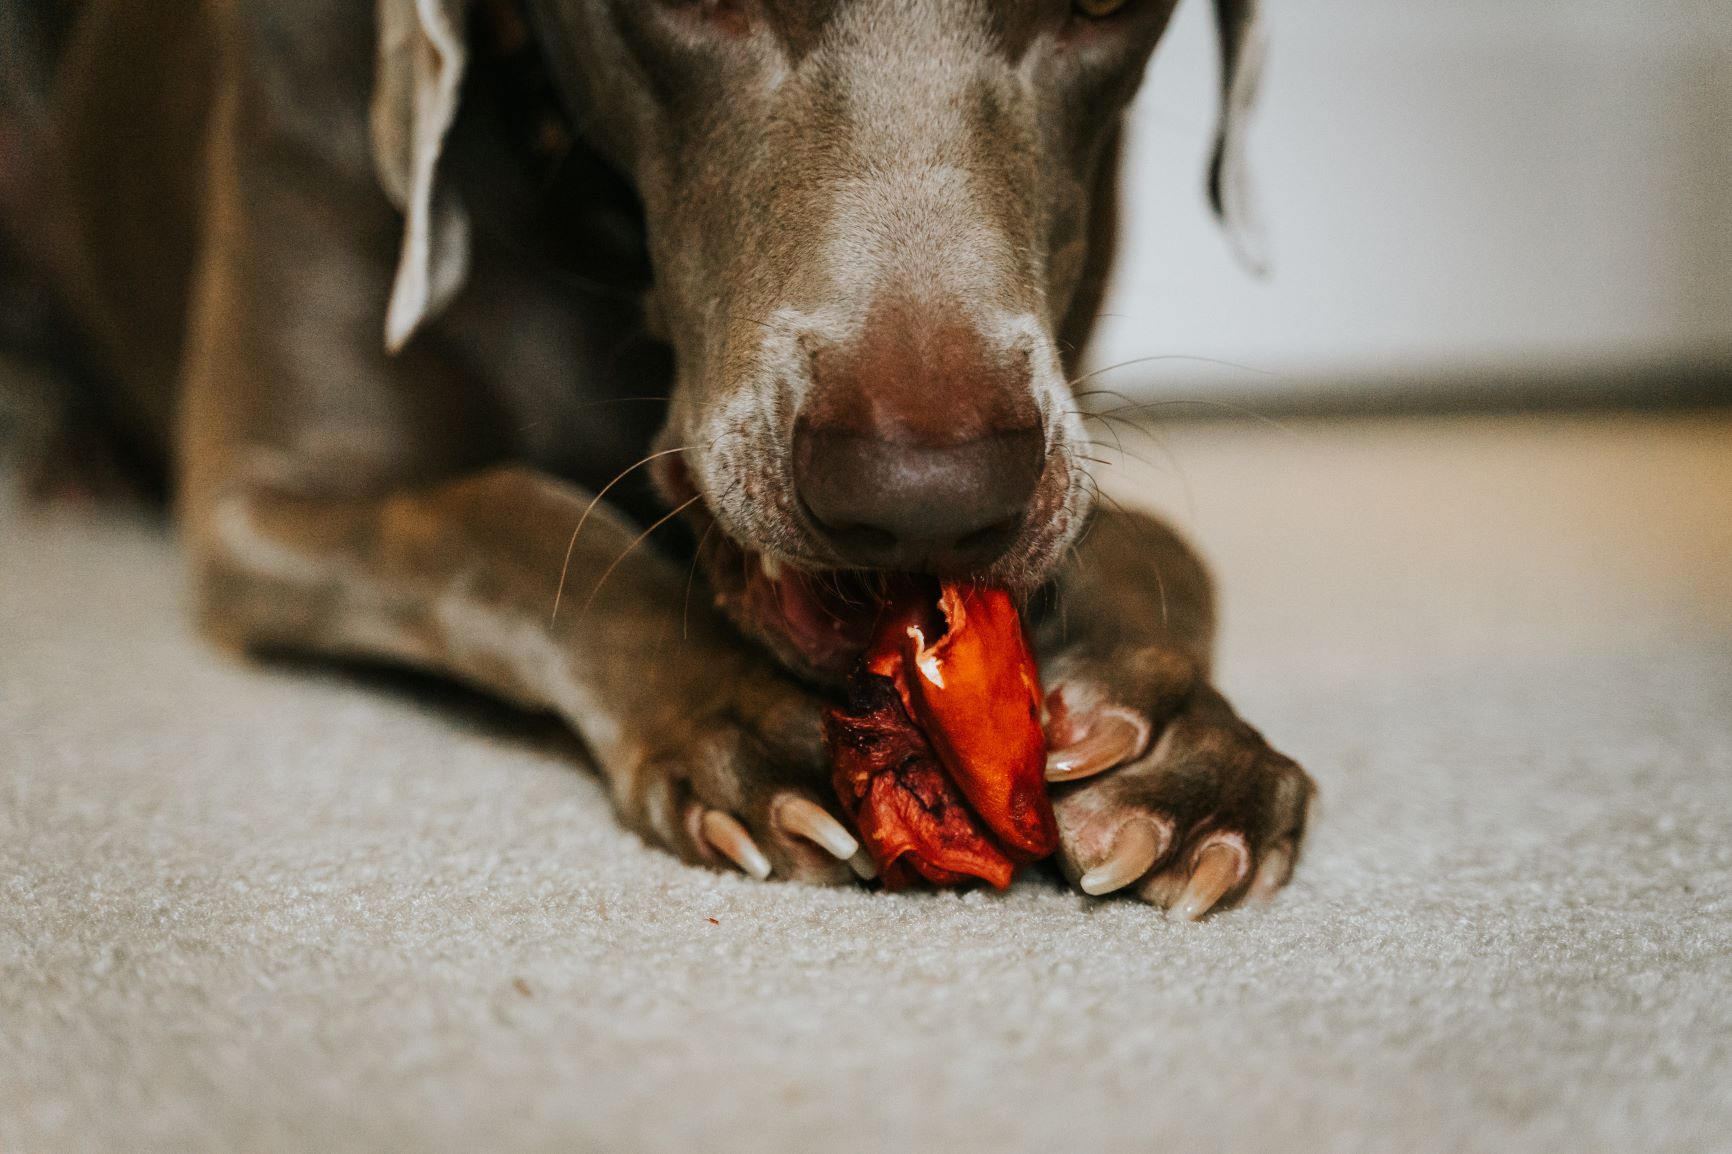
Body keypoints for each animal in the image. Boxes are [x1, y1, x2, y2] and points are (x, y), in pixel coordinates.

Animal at [3, 2, 1309, 914]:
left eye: (1101, 0)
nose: (922, 501)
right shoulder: (263, 500)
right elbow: (506, 517)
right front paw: (735, 712)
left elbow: (1162, 542)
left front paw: (1184, 745)